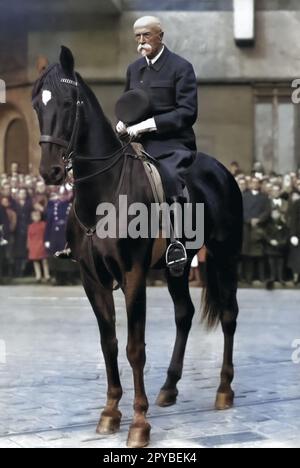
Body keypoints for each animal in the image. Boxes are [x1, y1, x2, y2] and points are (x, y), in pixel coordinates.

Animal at [32, 47, 244, 450]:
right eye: (38, 104)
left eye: (68, 102)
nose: (50, 171)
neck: (102, 194)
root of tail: (222, 172)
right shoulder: (92, 279)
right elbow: (110, 343)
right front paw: (110, 412)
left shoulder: (133, 274)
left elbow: (135, 347)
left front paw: (139, 423)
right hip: (180, 265)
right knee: (184, 314)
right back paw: (170, 387)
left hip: (226, 257)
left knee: (228, 315)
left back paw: (224, 390)